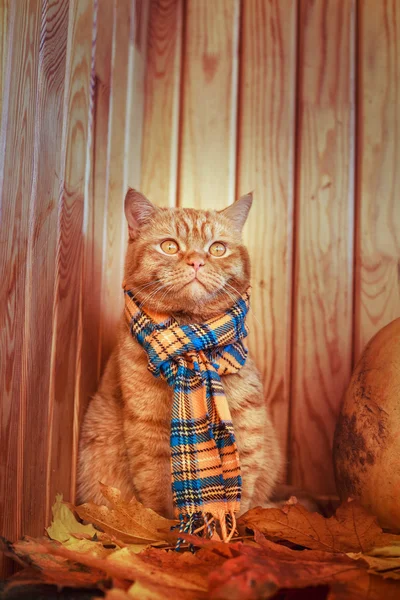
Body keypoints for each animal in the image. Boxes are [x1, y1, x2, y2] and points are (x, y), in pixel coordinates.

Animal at [78, 190, 282, 516]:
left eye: (218, 248)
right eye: (170, 246)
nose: (197, 261)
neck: (193, 343)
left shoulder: (247, 418)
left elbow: (242, 488)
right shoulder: (148, 429)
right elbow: (162, 494)